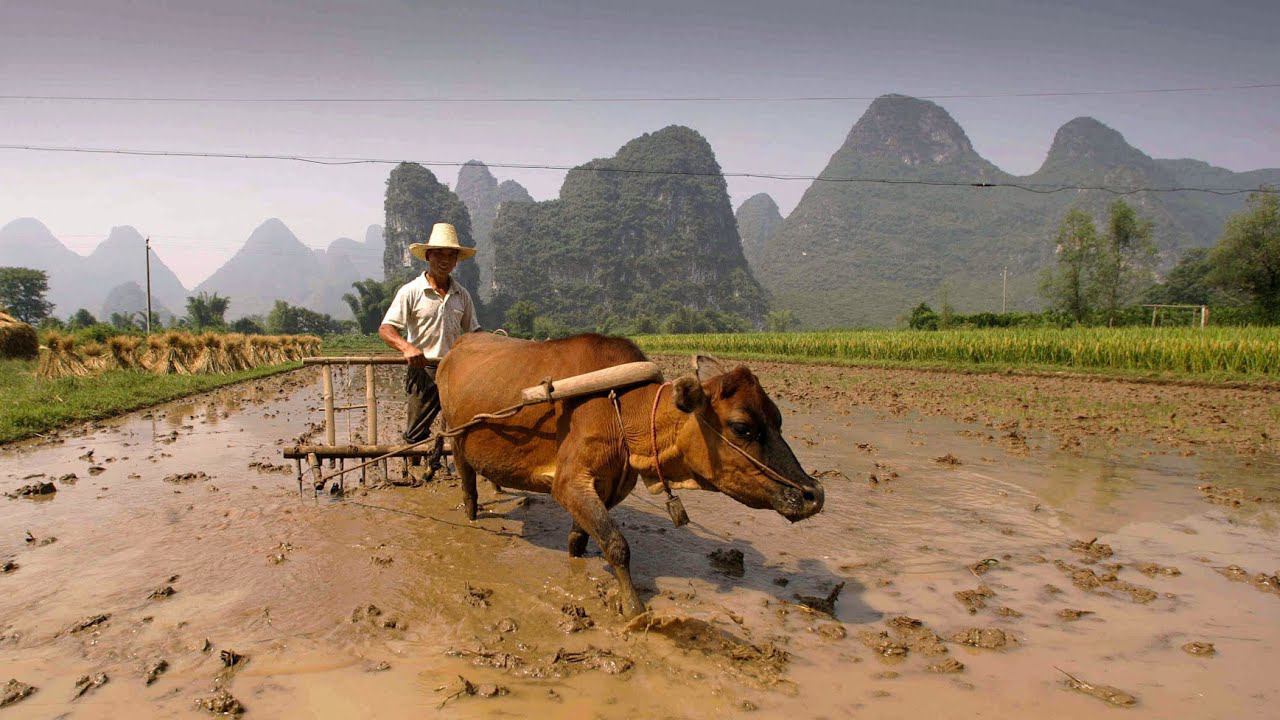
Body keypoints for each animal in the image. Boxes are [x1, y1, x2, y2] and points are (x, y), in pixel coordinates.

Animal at [436, 332, 824, 617]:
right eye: (742, 428)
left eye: (778, 419)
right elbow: (617, 545)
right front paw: (634, 609)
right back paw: (472, 515)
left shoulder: (606, 489)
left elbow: (580, 539)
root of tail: (460, 343)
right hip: (455, 439)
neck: (621, 409)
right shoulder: (568, 483)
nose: (813, 494)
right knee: (468, 486)